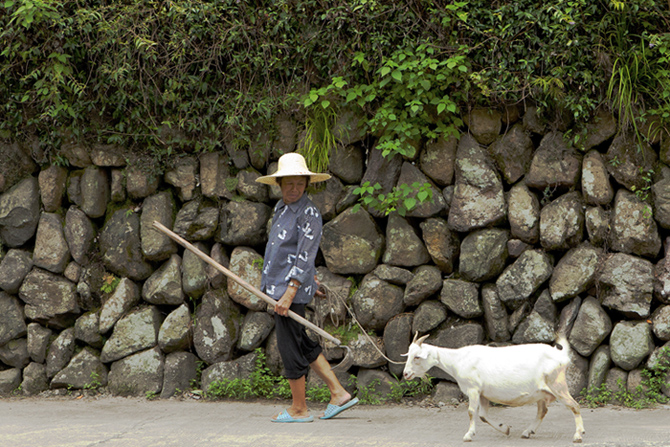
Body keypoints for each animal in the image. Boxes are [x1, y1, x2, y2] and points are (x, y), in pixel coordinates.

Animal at [404, 334, 588, 442]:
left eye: (417, 357)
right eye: (409, 354)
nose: (406, 374)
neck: (458, 360)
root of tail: (562, 356)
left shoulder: (473, 389)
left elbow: (471, 412)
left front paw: (468, 435)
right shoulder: (483, 393)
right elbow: (483, 416)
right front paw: (504, 429)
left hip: (557, 384)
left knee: (574, 405)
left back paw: (578, 435)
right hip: (541, 392)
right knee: (543, 410)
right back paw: (527, 432)